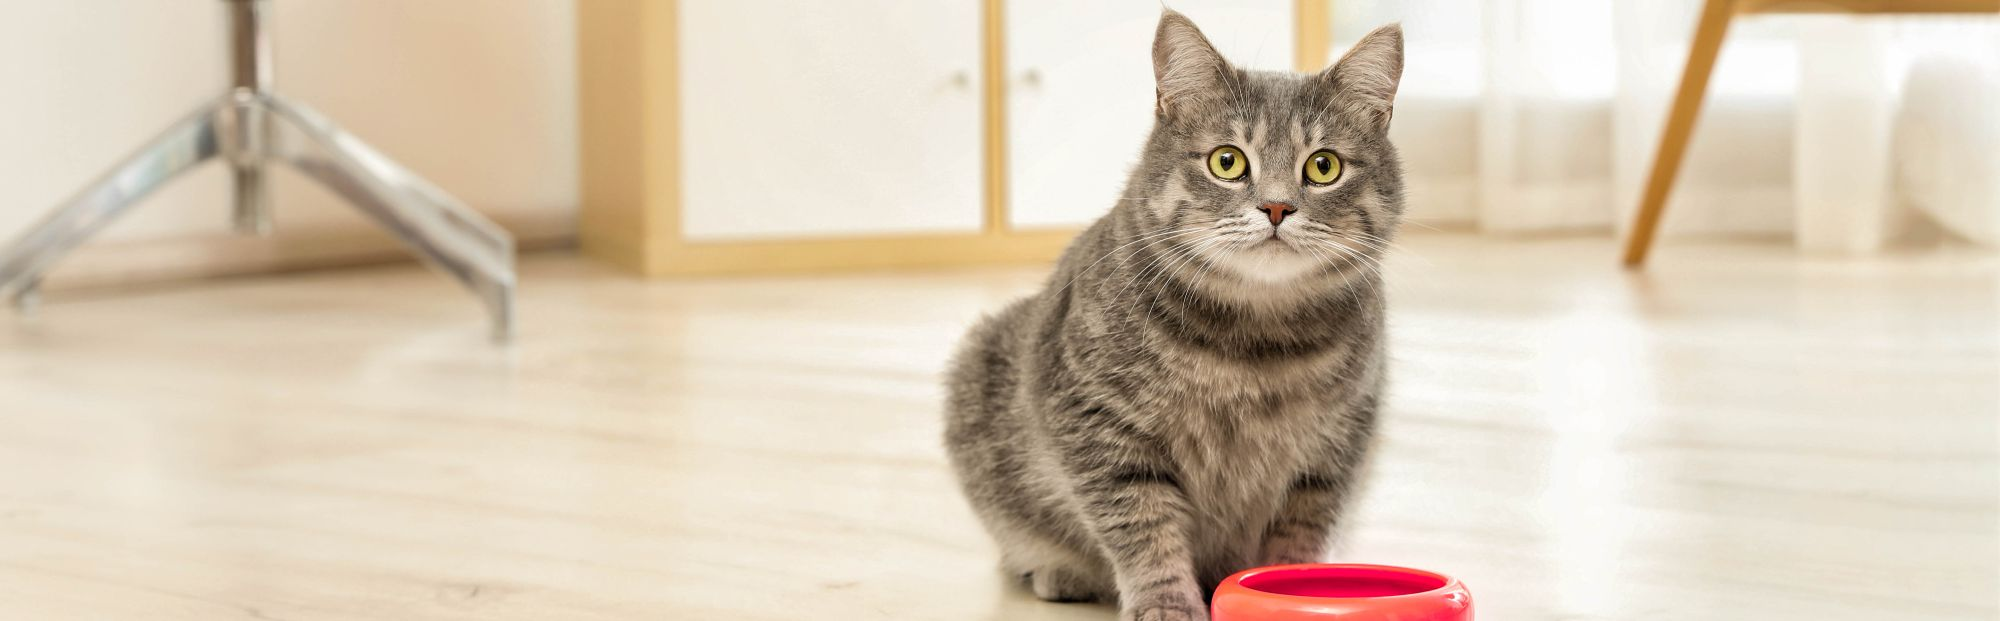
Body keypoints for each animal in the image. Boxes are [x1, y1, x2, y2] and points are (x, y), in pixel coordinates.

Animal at [940, 9, 1400, 621]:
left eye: (1323, 167)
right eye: (1227, 161)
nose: (1277, 207)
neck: (1256, 344)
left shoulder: (1337, 446)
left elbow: (1304, 526)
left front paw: (1296, 585)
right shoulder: (1100, 425)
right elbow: (1143, 526)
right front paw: (1166, 602)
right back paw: (1060, 572)